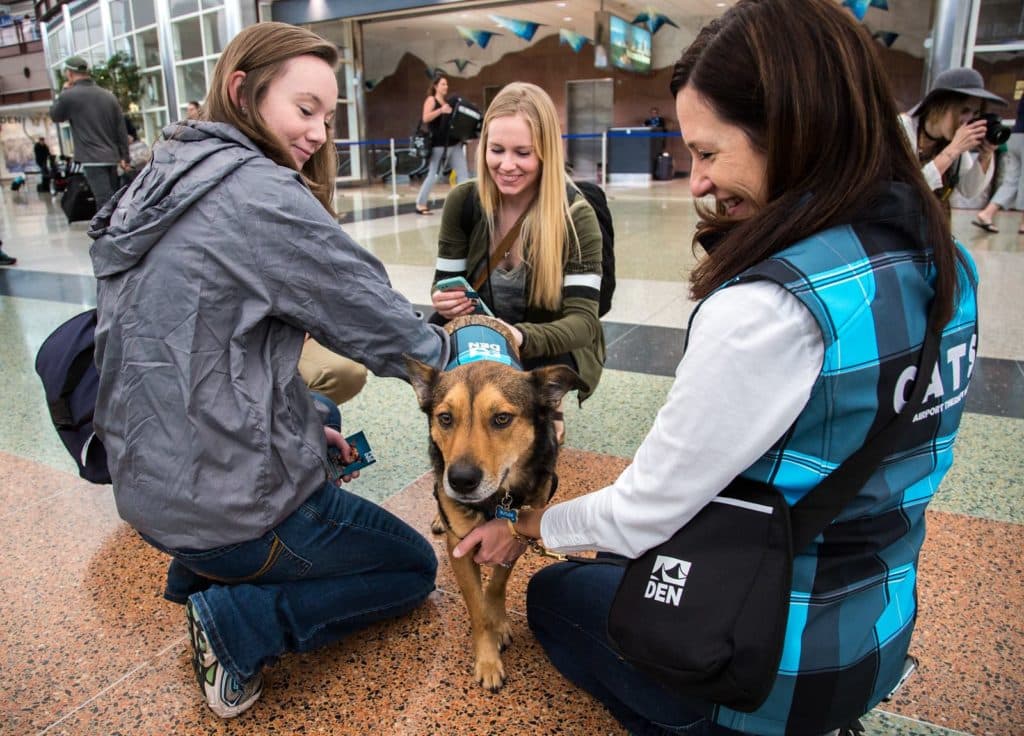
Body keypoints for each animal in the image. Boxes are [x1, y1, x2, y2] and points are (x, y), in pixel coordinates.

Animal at [403, 315, 589, 691]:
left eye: (502, 418)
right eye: (445, 418)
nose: (460, 481)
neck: (497, 498)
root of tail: (473, 312)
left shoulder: (515, 536)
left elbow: (497, 585)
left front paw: (499, 621)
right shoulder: (460, 548)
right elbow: (476, 610)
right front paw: (487, 659)